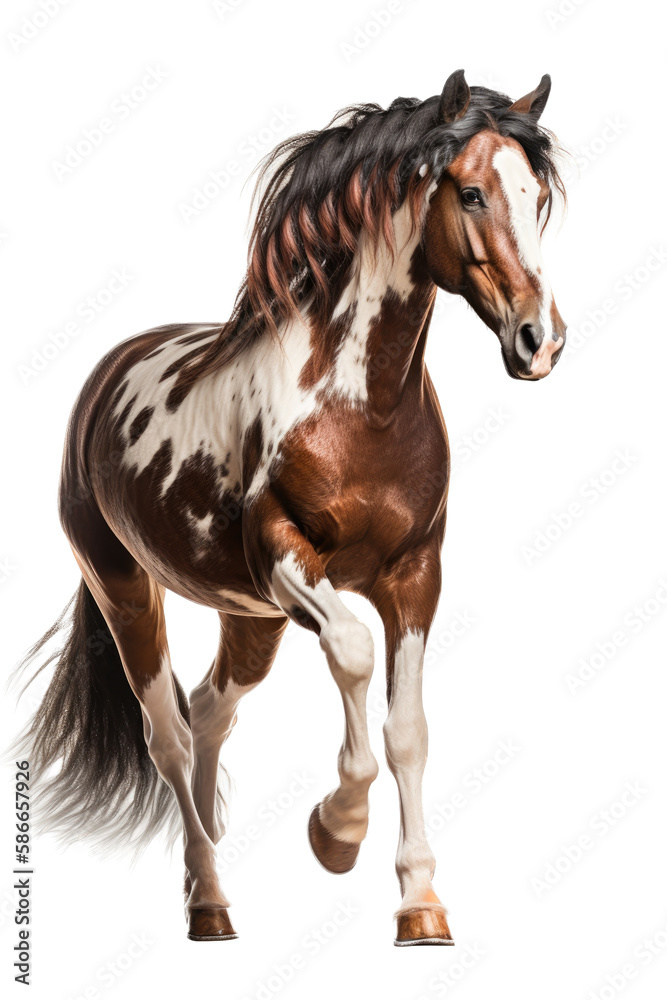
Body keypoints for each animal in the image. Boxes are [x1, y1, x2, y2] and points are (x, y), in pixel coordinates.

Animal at [15, 69, 566, 945]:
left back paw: (213, 871)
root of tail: (104, 381)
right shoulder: (288, 561)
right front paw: (335, 831)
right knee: (168, 735)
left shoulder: (413, 577)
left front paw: (420, 907)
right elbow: (352, 654)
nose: (538, 341)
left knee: (210, 711)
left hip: (250, 618)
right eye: (472, 192)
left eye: (537, 196)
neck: (362, 408)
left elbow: (407, 732)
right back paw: (207, 902)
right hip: (128, 591)